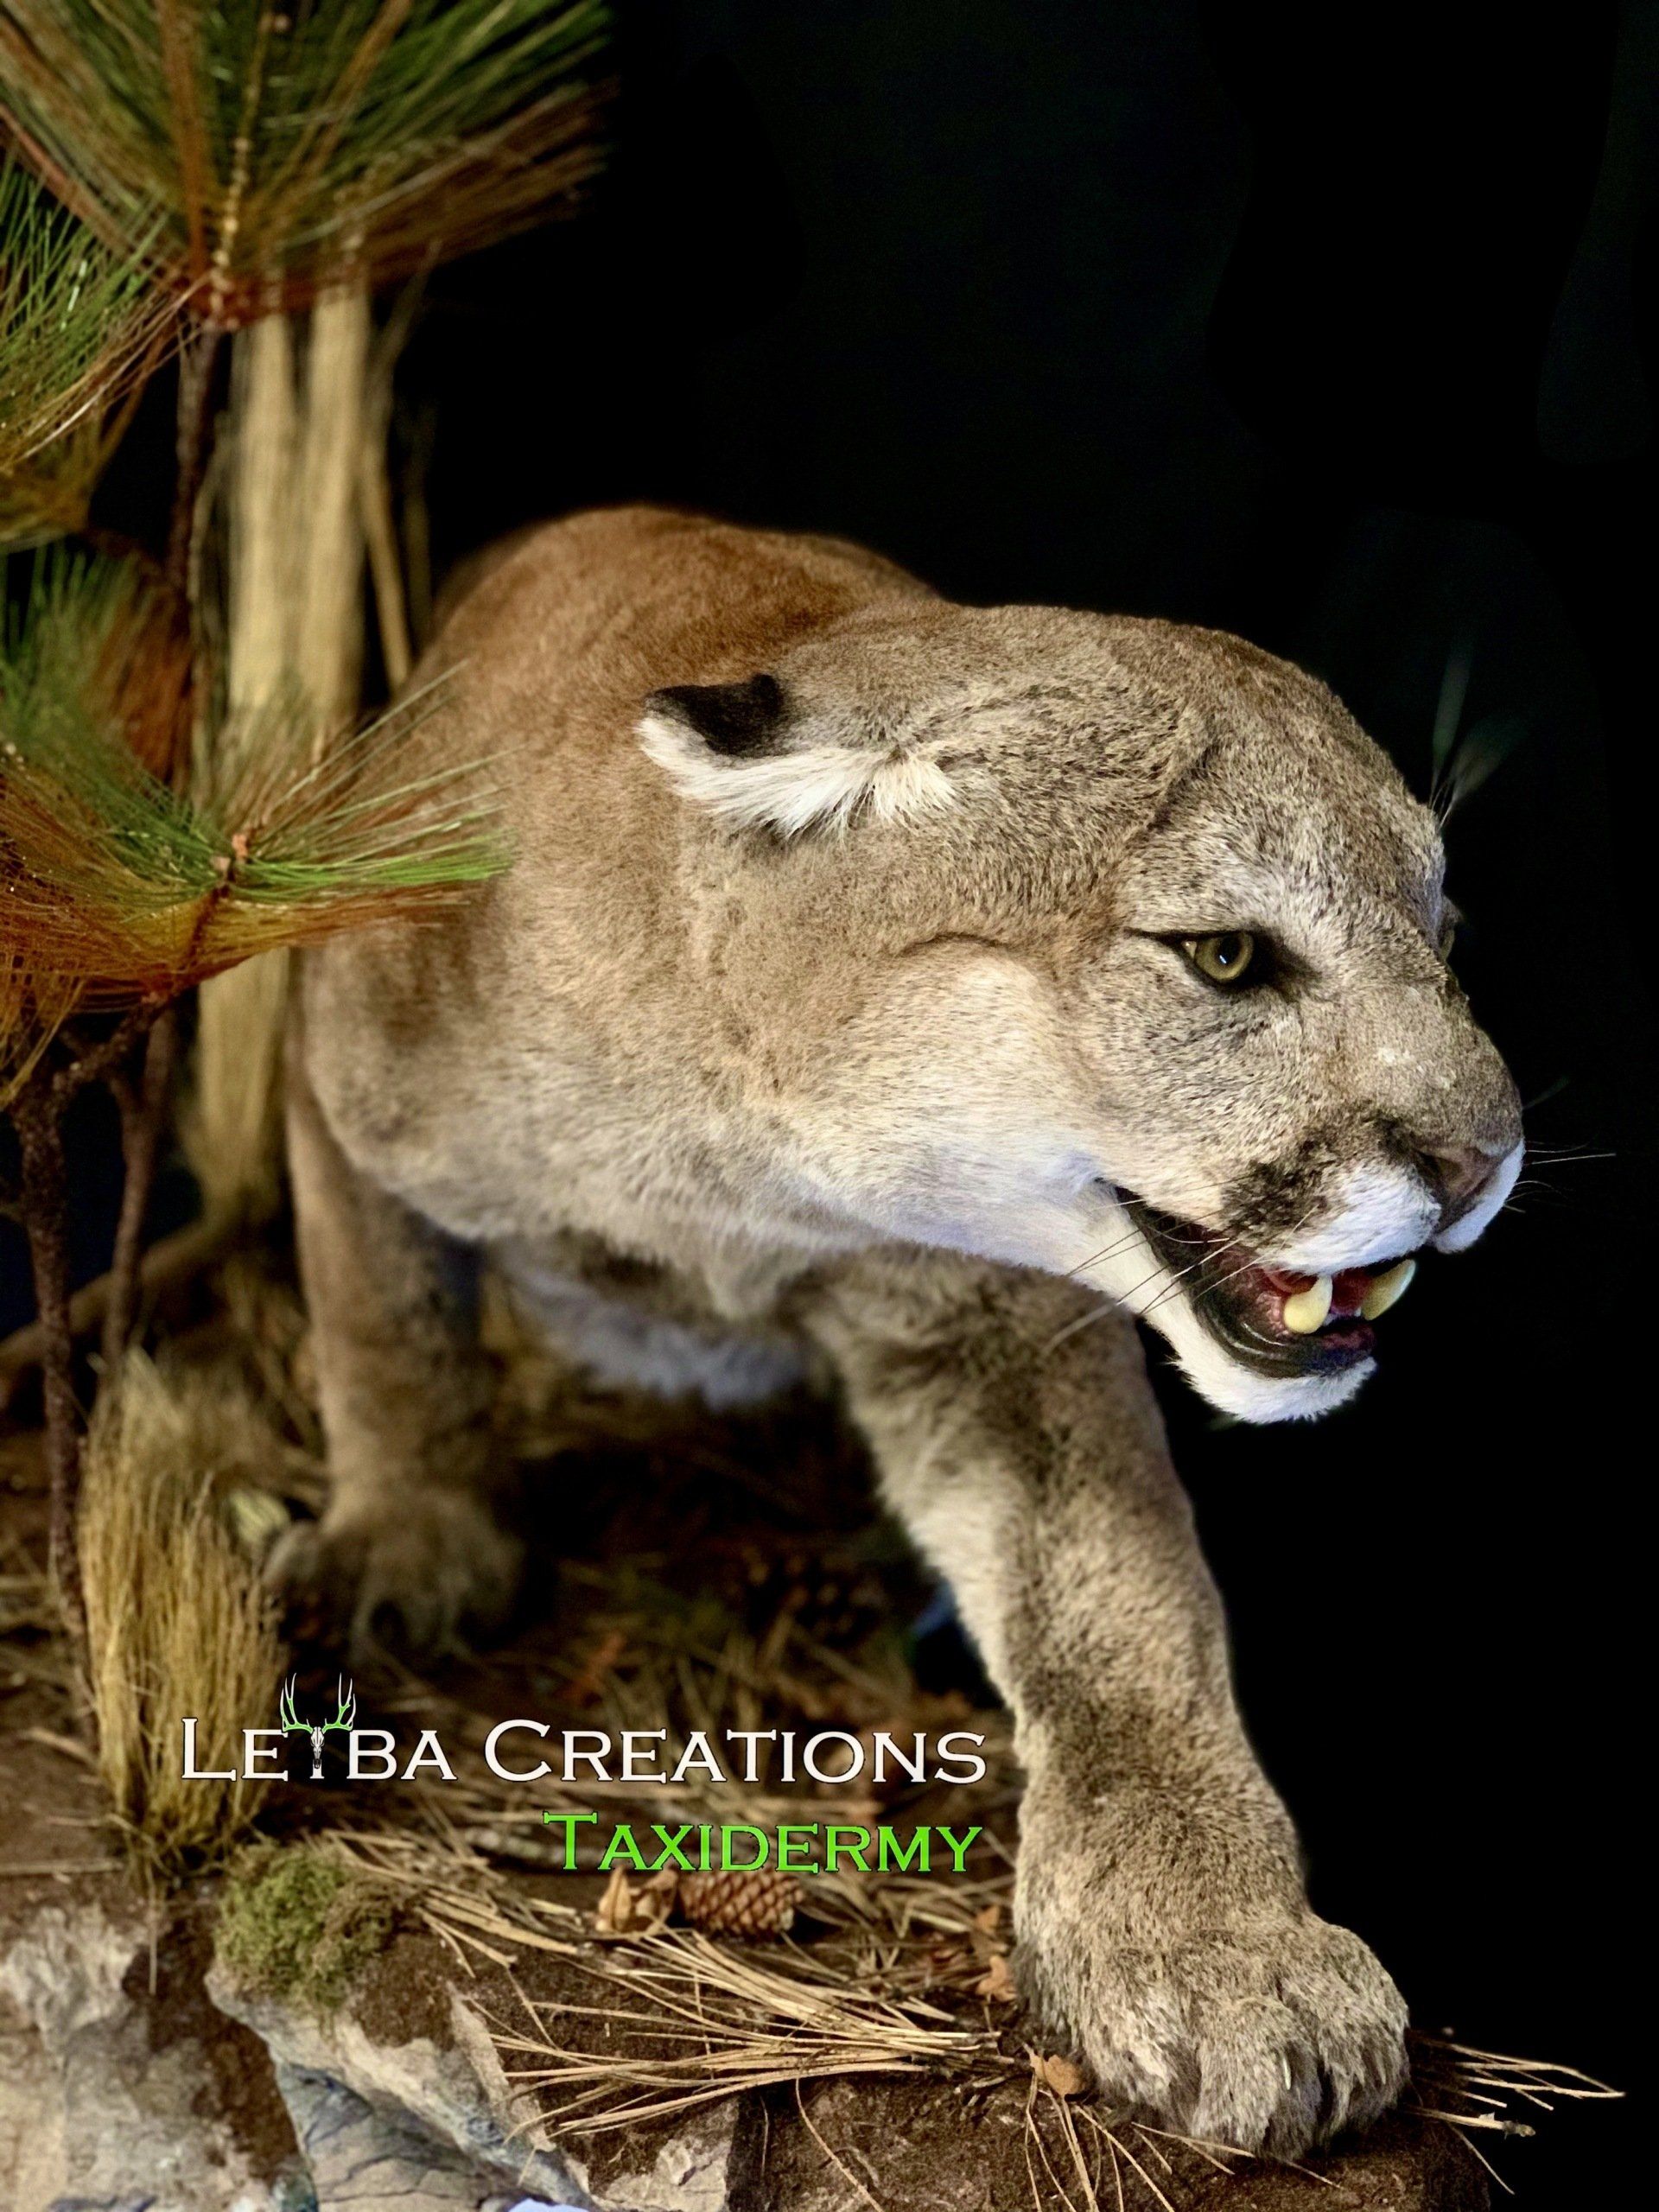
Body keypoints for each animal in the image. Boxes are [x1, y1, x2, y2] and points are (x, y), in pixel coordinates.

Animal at [275, 506, 1522, 2156]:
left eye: (1442, 925)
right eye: (1226, 957)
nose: (1484, 1158)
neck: (743, 1176)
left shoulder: (988, 1320)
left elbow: (1122, 1607)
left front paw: (1213, 1946)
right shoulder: (330, 1044)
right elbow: (383, 1320)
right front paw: (410, 1539)